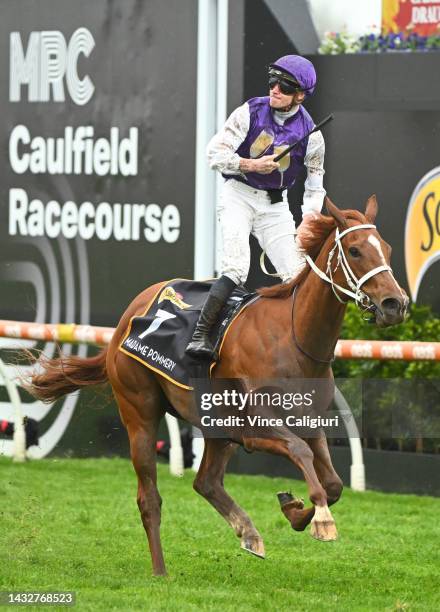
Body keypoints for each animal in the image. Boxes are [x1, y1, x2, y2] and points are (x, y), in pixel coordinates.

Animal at [25, 196, 408, 572]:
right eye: (355, 250)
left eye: (387, 249)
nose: (395, 304)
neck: (294, 337)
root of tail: (127, 319)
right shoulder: (256, 426)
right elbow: (301, 453)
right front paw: (320, 520)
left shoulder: (309, 421)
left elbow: (333, 483)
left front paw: (295, 510)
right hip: (139, 412)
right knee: (149, 498)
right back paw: (161, 571)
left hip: (214, 424)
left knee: (205, 481)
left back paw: (248, 532)